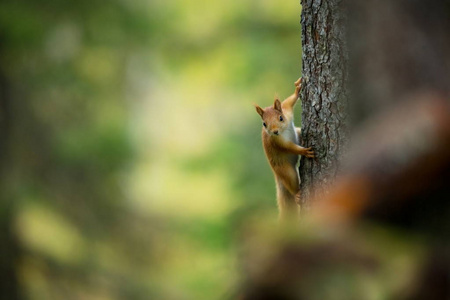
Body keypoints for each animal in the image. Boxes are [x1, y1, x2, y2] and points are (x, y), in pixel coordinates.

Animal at [255, 77, 314, 218]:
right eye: (264, 124)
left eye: (281, 118)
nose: (275, 131)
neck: (284, 129)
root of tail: (277, 175)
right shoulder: (276, 142)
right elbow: (289, 148)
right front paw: (304, 151)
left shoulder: (286, 109)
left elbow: (289, 101)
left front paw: (298, 88)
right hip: (286, 171)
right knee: (291, 185)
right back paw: (297, 194)